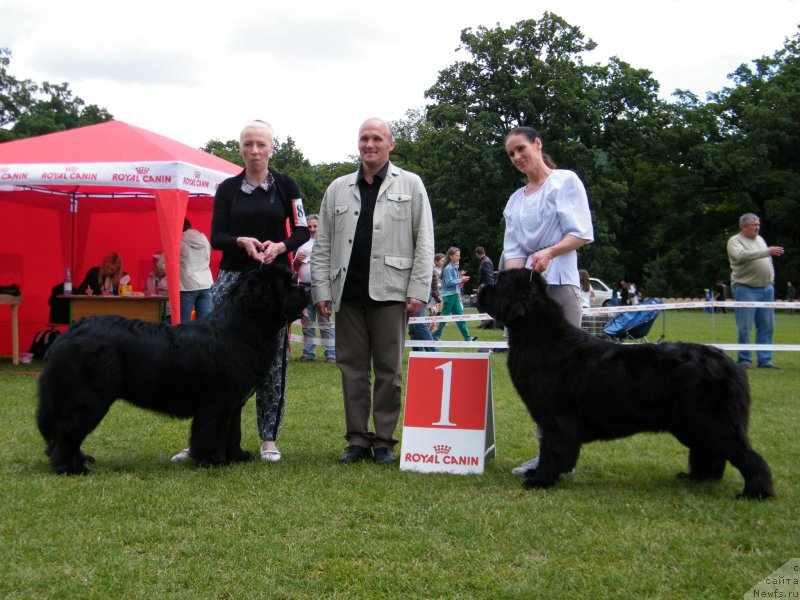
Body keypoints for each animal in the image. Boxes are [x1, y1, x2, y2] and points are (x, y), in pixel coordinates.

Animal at [36, 266, 306, 474]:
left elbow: (233, 431)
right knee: (66, 433)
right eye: (288, 284)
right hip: (89, 399)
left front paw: (237, 457)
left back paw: (79, 460)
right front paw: (212, 460)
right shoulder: (218, 402)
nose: (307, 288)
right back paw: (70, 468)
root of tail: (68, 335)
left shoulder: (233, 402)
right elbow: (212, 432)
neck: (241, 328)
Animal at [478, 270, 772, 500]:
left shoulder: (555, 417)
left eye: (499, 282)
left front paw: (540, 480)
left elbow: (553, 449)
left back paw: (755, 492)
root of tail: (731, 365)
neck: (539, 337)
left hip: (711, 420)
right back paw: (697, 478)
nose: (480, 288)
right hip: (692, 423)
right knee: (710, 451)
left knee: (745, 454)